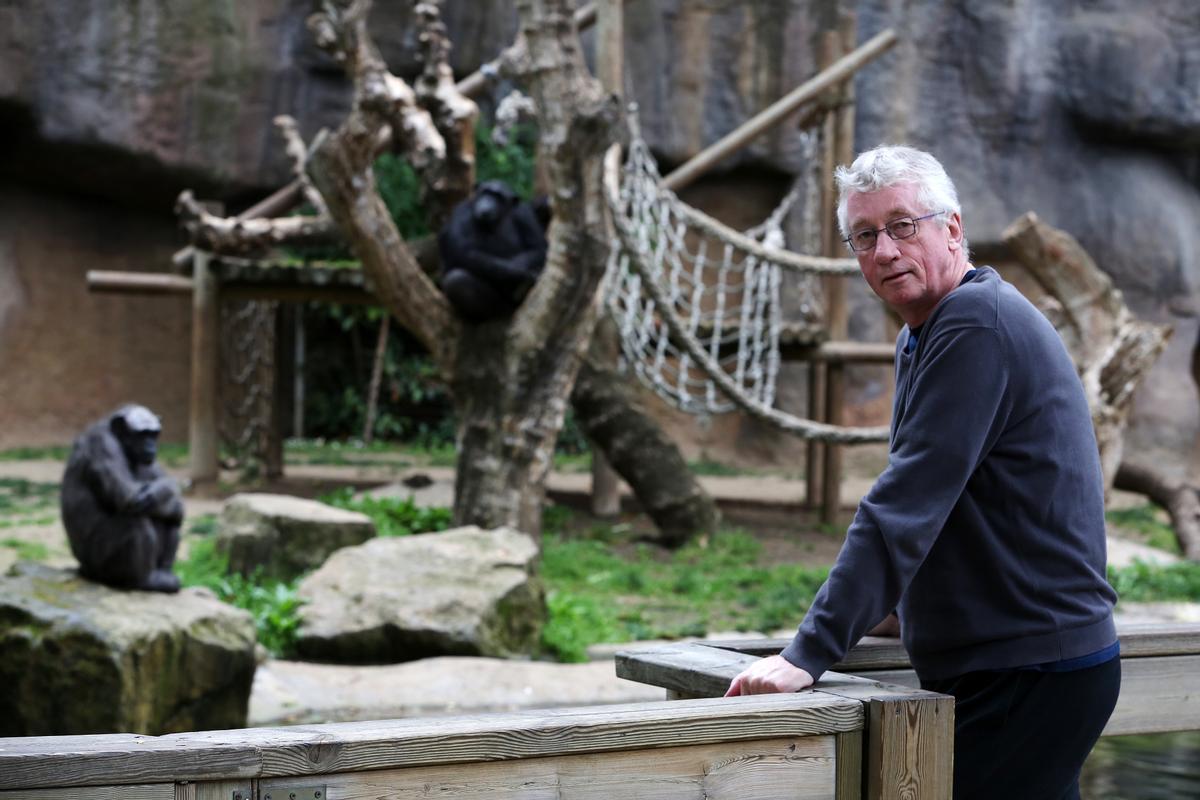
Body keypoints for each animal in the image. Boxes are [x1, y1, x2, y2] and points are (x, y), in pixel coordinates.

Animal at [59, 402, 182, 592]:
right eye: (142, 434)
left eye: (154, 434)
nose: (151, 445)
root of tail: (83, 570)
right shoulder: (103, 445)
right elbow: (130, 495)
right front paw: (177, 506)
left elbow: (162, 482)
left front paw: (174, 500)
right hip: (100, 566)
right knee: (134, 521)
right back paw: (145, 580)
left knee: (167, 517)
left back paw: (163, 574)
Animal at [436, 178, 549, 321]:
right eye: (485, 192)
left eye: (498, 197)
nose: (488, 200)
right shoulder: (461, 211)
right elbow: (464, 252)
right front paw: (523, 273)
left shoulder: (524, 213)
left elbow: (538, 247)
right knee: (457, 280)